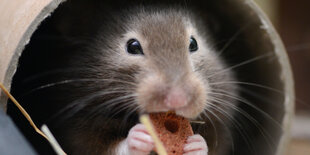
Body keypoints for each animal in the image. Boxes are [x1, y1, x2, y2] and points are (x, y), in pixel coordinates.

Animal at [8, 1, 239, 155]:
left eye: (193, 43)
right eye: (133, 46)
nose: (177, 100)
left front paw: (195, 144)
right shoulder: (74, 131)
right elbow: (110, 148)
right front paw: (141, 136)